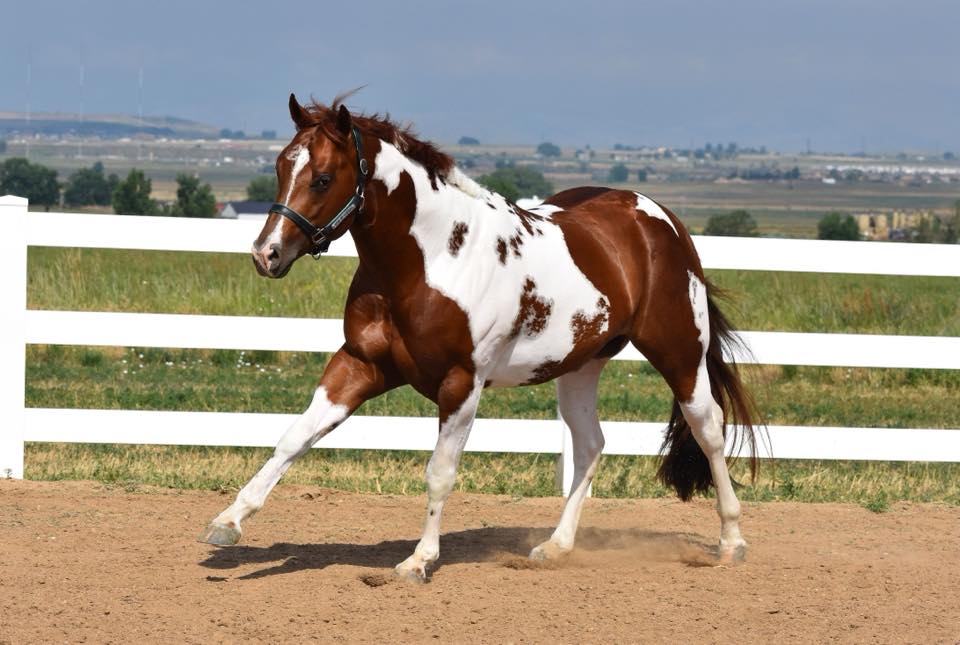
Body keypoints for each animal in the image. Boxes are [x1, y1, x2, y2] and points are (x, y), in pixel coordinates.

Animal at [201, 93, 756, 580]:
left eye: (322, 178)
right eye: (280, 167)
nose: (266, 253)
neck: (429, 263)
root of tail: (660, 218)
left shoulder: (460, 384)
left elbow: (439, 473)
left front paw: (418, 561)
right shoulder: (359, 364)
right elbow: (295, 437)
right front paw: (228, 523)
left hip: (680, 353)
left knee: (709, 429)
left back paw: (731, 542)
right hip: (581, 366)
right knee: (590, 445)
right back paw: (556, 546)